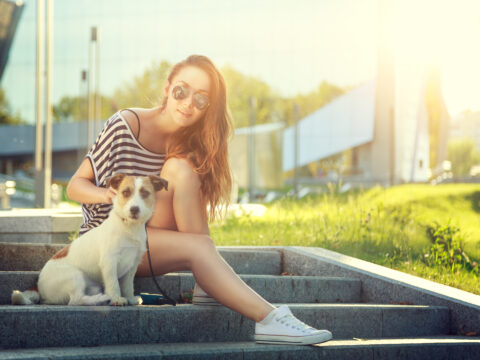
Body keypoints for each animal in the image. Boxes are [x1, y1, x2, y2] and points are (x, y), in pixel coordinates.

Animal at [11, 174, 169, 306]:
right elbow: (114, 284)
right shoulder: (109, 262)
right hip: (75, 275)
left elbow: (128, 285)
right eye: (125, 193)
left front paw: (130, 298)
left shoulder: (133, 264)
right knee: (75, 300)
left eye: (145, 193)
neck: (128, 226)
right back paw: (101, 298)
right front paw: (116, 298)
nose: (134, 209)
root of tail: (38, 285)